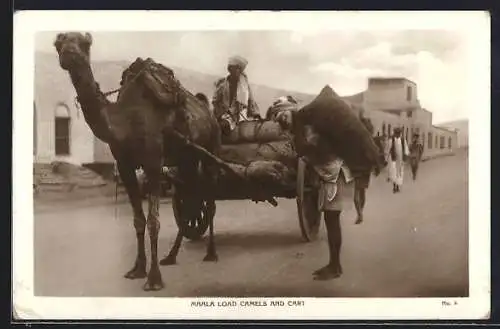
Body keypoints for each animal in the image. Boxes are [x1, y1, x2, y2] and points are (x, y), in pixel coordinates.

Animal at [52, 32, 221, 290]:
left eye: (85, 43)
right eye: (58, 43)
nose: (69, 53)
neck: (125, 120)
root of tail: (208, 111)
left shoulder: (153, 162)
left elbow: (153, 221)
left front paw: (154, 279)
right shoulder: (125, 166)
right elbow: (138, 220)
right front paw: (137, 269)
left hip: (209, 149)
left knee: (209, 201)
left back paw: (211, 253)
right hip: (186, 158)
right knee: (190, 202)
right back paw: (171, 256)